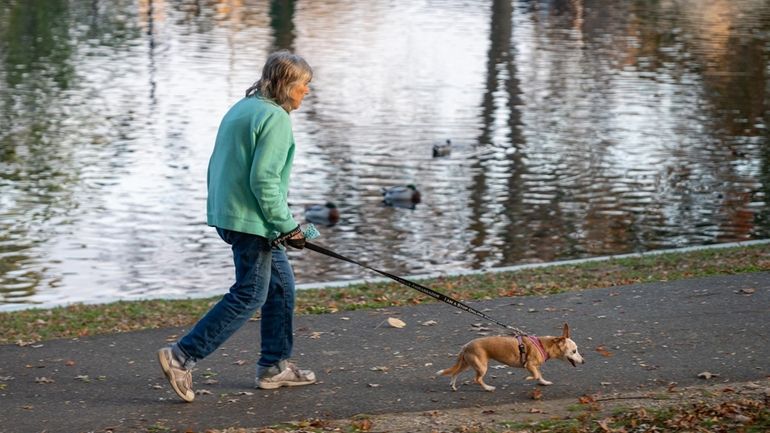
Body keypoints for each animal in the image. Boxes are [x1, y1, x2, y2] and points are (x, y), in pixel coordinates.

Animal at [438, 322, 584, 390]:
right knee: (477, 379)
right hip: (481, 366)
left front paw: (544, 382)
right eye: (574, 351)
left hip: (467, 364)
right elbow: (535, 375)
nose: (583, 361)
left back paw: (453, 386)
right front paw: (527, 378)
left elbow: (539, 375)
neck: (544, 345)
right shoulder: (529, 365)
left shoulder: (535, 366)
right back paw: (488, 388)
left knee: (455, 372)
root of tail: (466, 346)